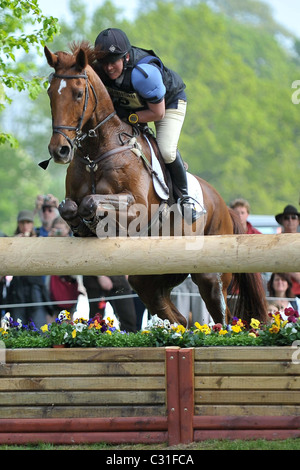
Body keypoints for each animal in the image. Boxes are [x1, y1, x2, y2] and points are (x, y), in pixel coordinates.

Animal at [44, 42, 268, 324]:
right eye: (51, 93)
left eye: (78, 94)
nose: (59, 150)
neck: (97, 153)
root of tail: (225, 208)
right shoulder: (72, 198)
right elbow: (69, 207)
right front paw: (81, 226)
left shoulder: (138, 207)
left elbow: (91, 202)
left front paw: (93, 220)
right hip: (150, 279)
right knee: (179, 319)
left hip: (210, 277)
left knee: (223, 318)